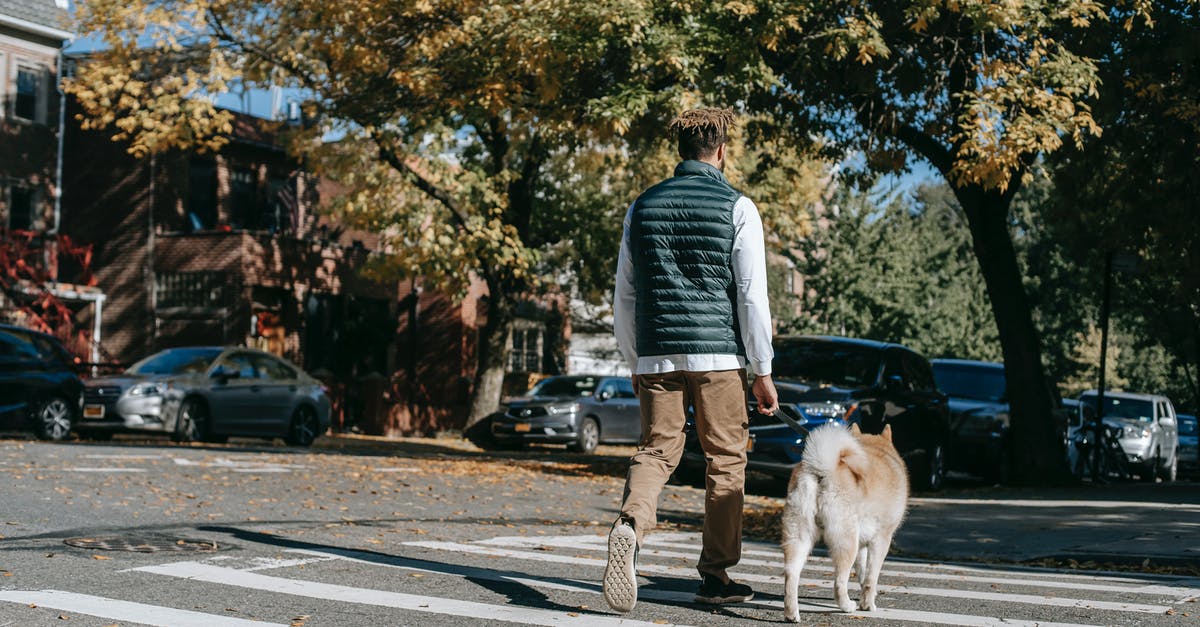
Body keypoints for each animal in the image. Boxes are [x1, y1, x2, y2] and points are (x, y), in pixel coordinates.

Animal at [782, 418, 902, 614]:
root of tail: (822, 470)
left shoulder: (863, 544)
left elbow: (862, 574)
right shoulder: (881, 539)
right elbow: (870, 578)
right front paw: (868, 605)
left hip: (799, 537)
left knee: (791, 575)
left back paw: (791, 614)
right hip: (846, 542)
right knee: (839, 582)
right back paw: (847, 606)